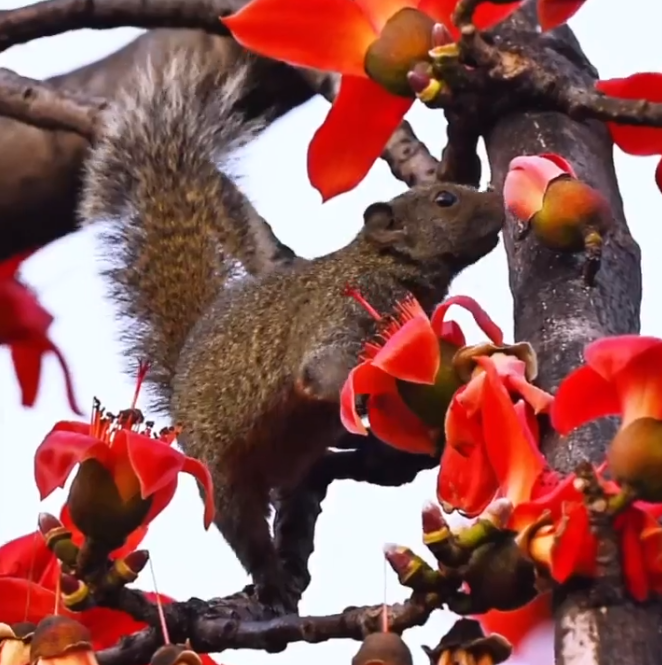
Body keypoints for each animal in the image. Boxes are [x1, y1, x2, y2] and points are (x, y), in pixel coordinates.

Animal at [77, 49, 505, 613]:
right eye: (444, 200)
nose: (499, 201)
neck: (381, 265)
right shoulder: (336, 315)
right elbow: (321, 370)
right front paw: (359, 397)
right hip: (224, 478)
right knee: (244, 530)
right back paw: (272, 580)